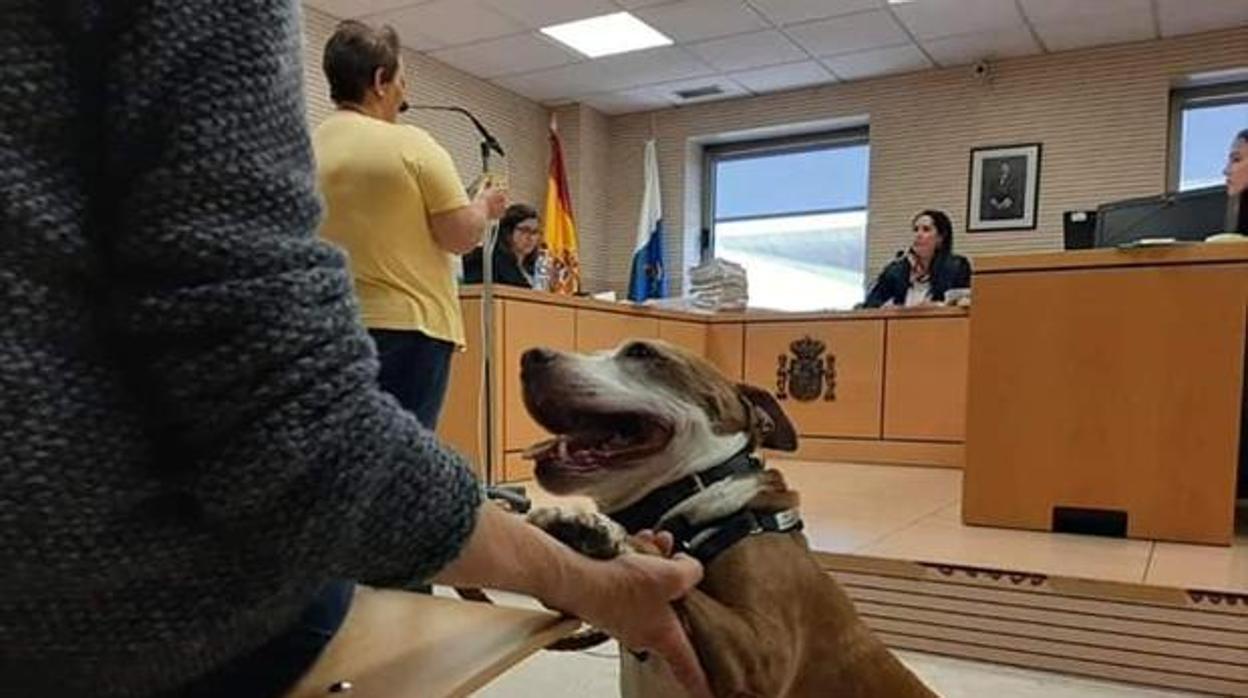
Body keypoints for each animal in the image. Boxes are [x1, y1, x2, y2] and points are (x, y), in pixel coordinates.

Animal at [516, 342, 938, 698]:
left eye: (641, 352)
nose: (530, 356)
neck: (696, 494)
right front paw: (570, 528)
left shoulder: (760, 656)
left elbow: (667, 562)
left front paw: (598, 532)